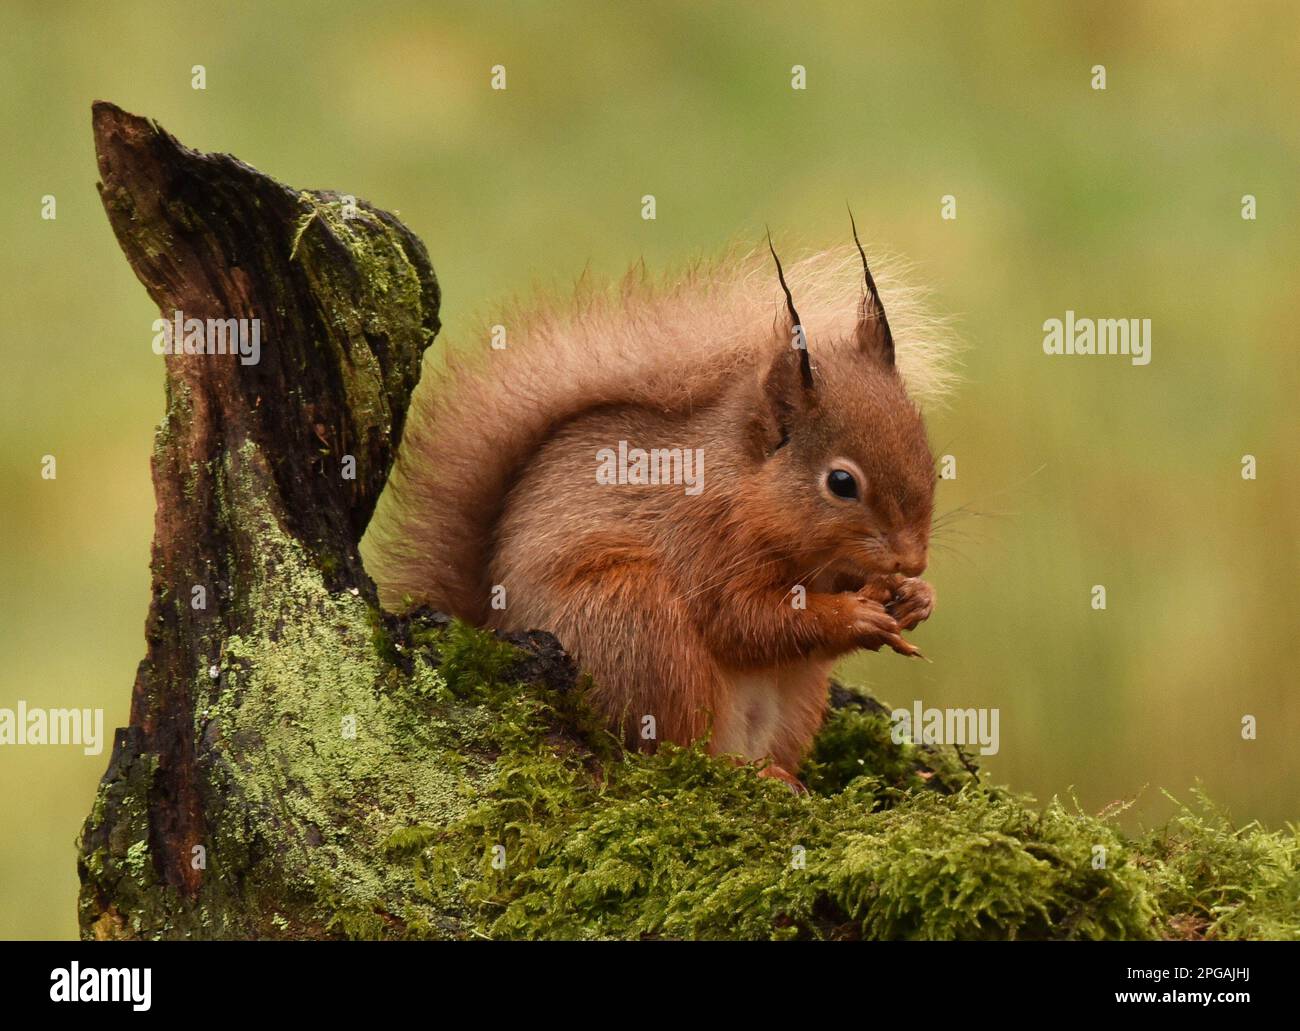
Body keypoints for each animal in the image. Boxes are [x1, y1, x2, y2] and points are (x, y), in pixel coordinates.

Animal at [366, 217, 956, 780]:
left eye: (927, 452)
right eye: (841, 483)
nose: (912, 559)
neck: (744, 486)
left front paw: (917, 597)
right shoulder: (703, 540)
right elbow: (742, 620)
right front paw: (855, 616)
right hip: (638, 626)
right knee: (671, 750)